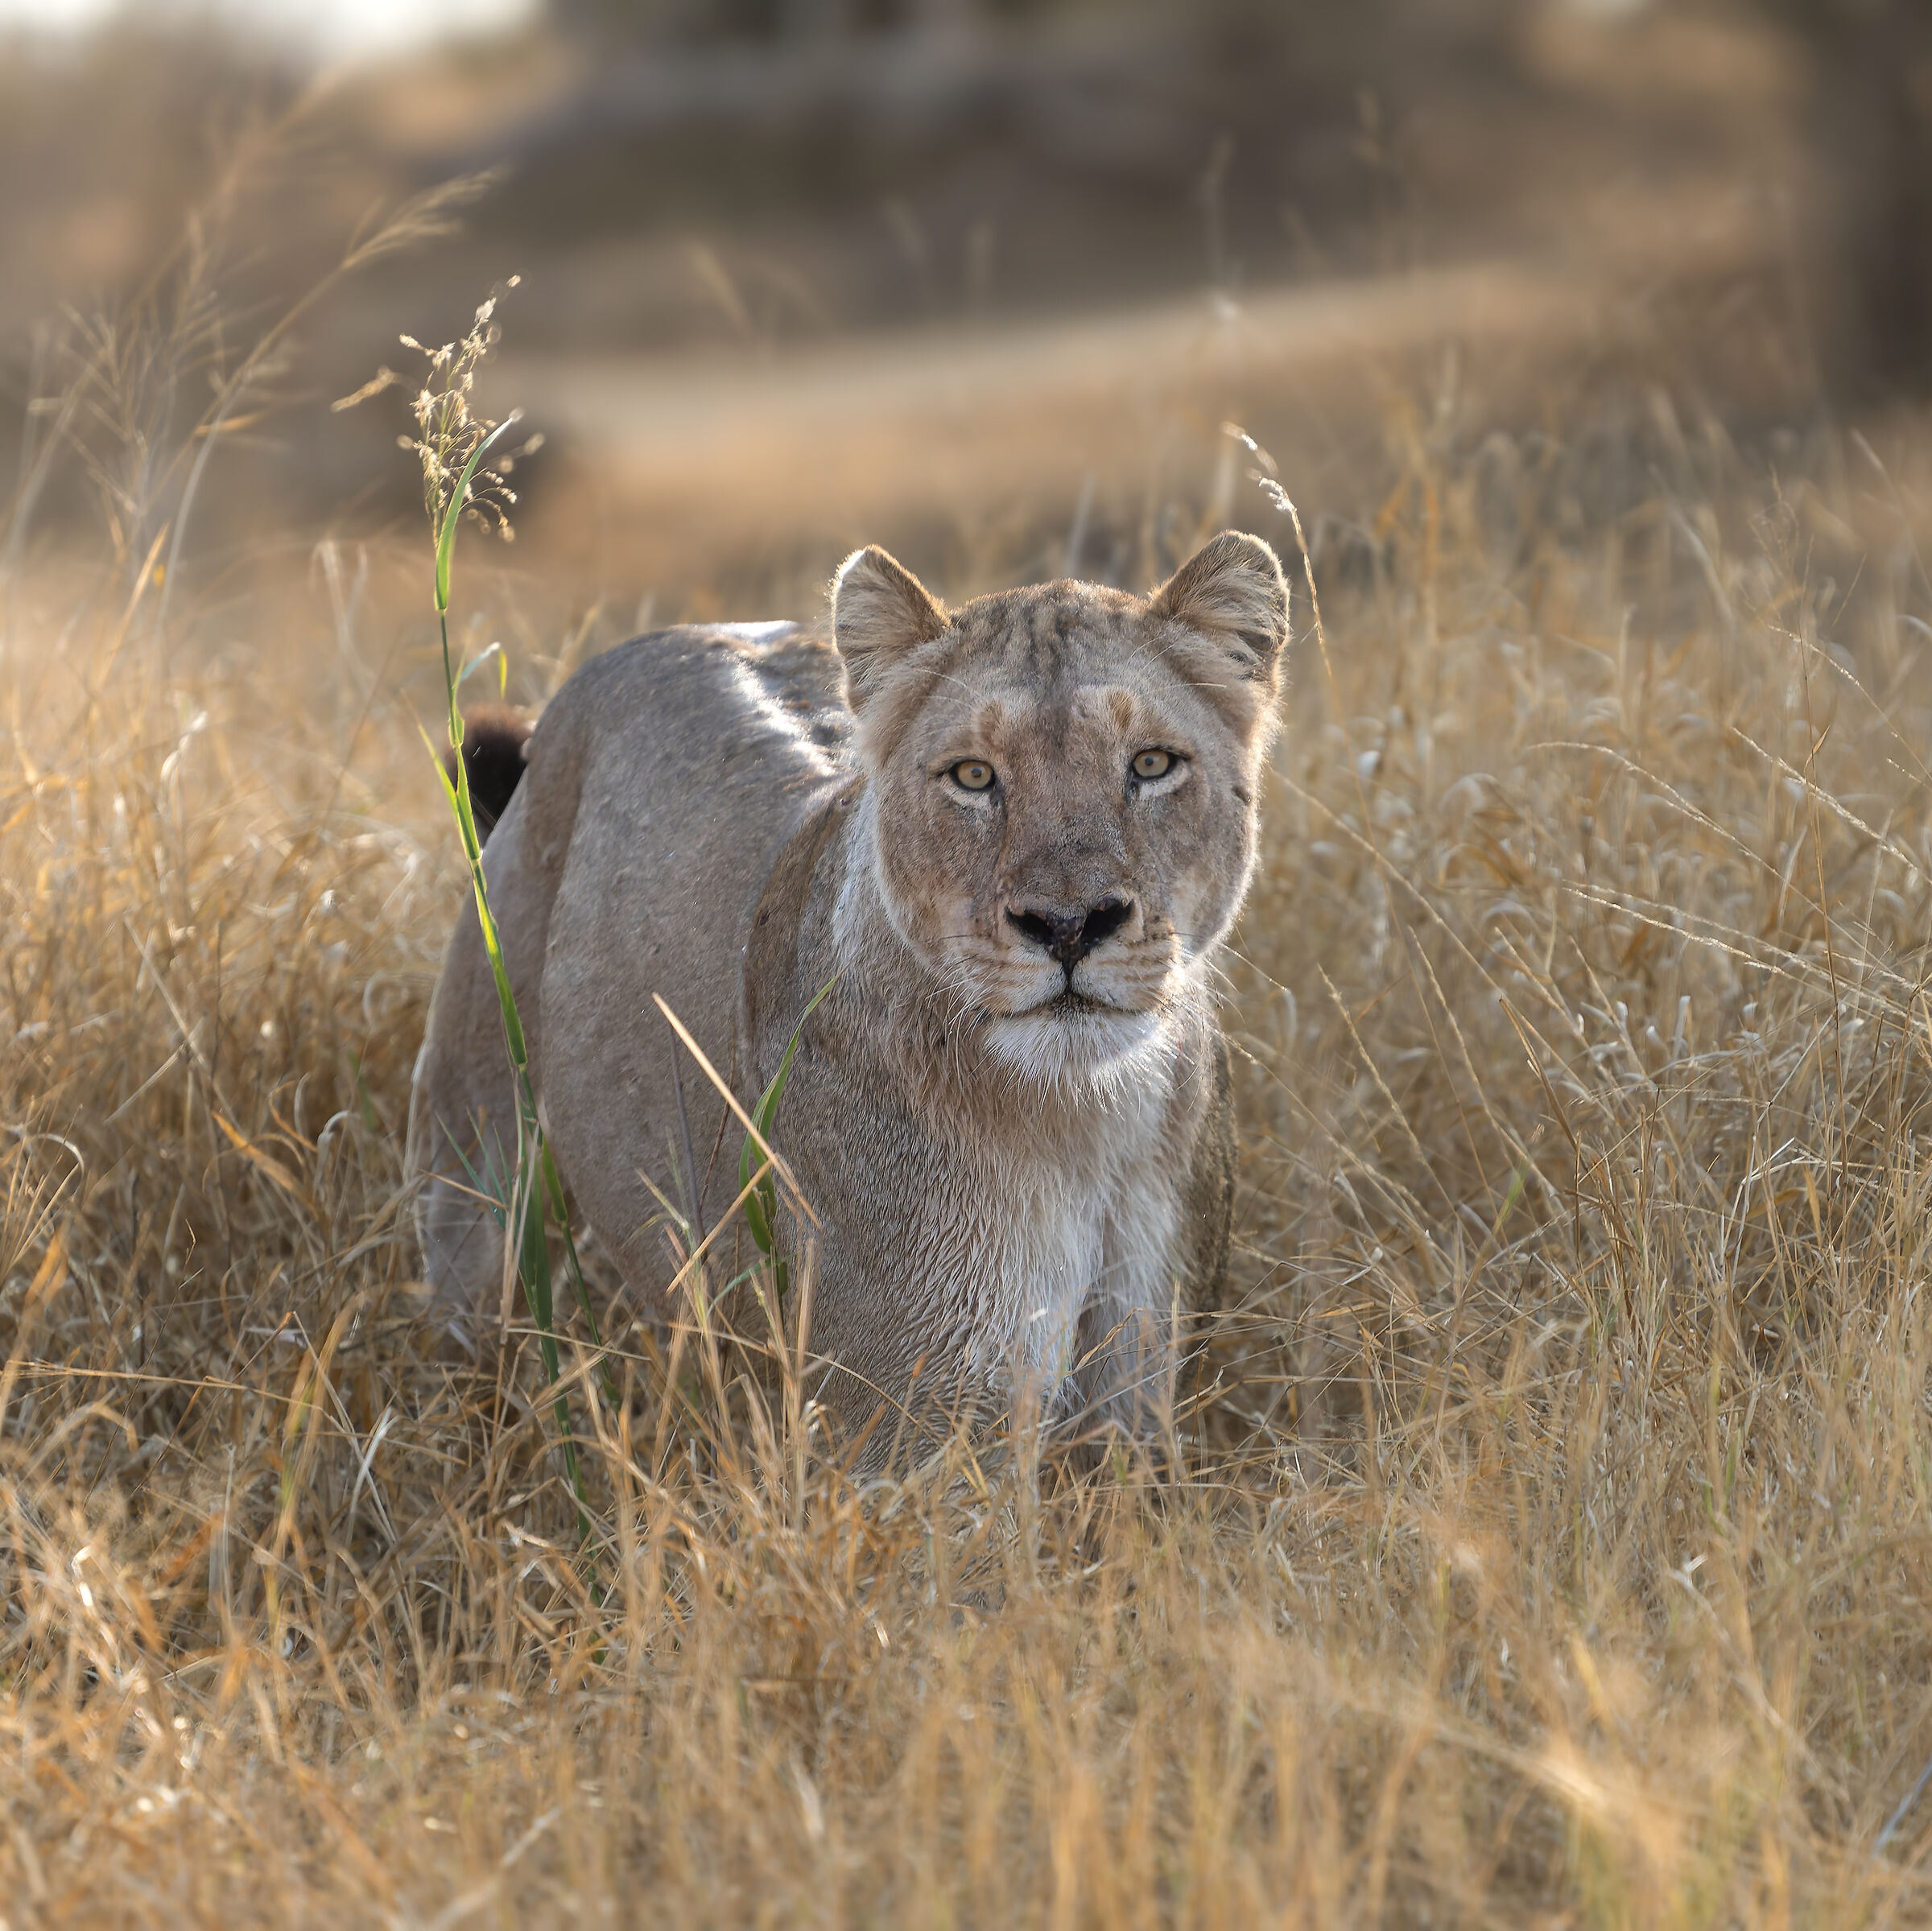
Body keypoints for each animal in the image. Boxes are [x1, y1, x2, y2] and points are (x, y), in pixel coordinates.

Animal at [406, 532, 1289, 1459]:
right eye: (973, 776)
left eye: (1151, 764)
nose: (1070, 924)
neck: (1082, 1121)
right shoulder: (917, 1429)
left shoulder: (1140, 1390)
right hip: (472, 1159)